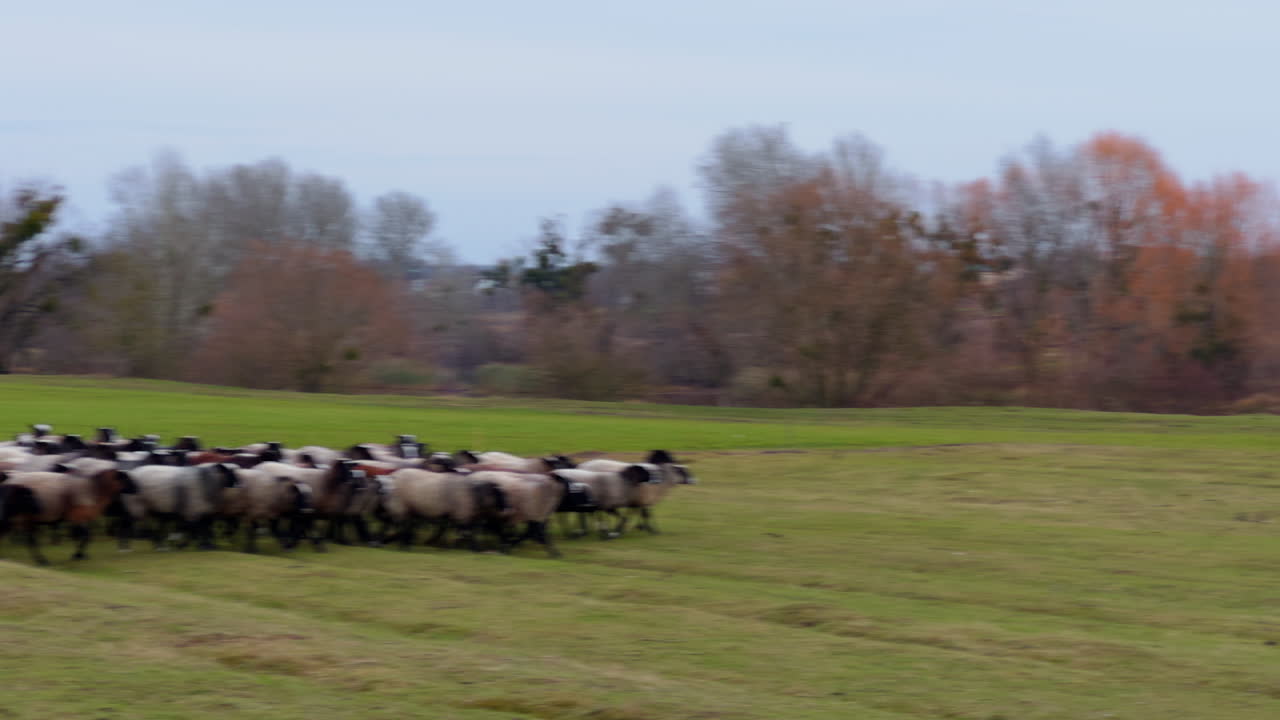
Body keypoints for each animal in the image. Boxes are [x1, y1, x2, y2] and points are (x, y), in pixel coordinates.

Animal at [0, 467, 138, 565]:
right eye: (125, 478)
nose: (137, 489)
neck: (93, 490)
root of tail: (9, 480)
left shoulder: (79, 518)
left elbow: (83, 536)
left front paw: (81, 555)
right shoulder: (77, 516)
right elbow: (85, 536)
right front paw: (77, 555)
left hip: (23, 518)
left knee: (28, 539)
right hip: (22, 517)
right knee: (30, 540)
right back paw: (42, 561)